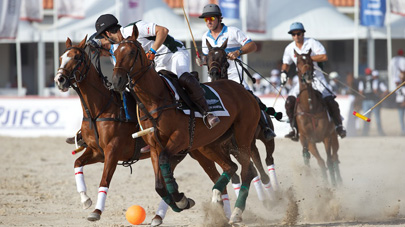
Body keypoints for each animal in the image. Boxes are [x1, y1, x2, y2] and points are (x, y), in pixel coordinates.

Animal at [52, 36, 232, 224]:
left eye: (76, 58)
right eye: (61, 58)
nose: (59, 79)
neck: (100, 109)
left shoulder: (112, 151)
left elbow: (104, 180)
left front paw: (96, 211)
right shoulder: (96, 151)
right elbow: (77, 163)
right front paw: (85, 199)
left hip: (202, 148)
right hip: (186, 152)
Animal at [110, 25, 258, 223]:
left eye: (132, 52)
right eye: (115, 53)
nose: (116, 81)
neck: (155, 99)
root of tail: (244, 90)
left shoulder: (180, 138)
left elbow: (165, 162)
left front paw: (180, 199)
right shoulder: (155, 146)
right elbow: (158, 185)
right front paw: (182, 201)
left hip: (243, 136)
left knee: (246, 171)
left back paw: (236, 212)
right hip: (208, 144)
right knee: (231, 167)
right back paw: (218, 197)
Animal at [205, 39, 280, 197]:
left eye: (225, 59)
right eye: (207, 57)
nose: (213, 73)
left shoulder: (246, 146)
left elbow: (257, 171)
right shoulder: (227, 150)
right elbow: (237, 175)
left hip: (264, 139)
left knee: (268, 160)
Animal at [294, 48, 340, 185]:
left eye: (310, 60)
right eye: (297, 62)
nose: (308, 75)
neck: (310, 108)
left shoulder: (327, 137)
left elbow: (329, 161)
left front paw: (334, 185)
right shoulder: (310, 140)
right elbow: (321, 162)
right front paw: (326, 186)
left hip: (334, 136)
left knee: (335, 158)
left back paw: (339, 182)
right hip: (304, 140)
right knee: (307, 157)